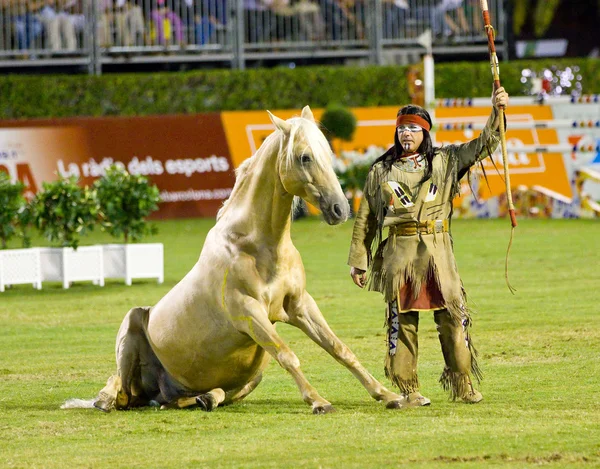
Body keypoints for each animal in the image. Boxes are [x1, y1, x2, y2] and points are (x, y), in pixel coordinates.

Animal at [63, 106, 406, 414]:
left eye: (328, 154)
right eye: (304, 157)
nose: (340, 208)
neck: (258, 246)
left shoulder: (299, 305)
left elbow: (340, 349)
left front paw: (389, 395)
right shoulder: (249, 313)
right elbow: (287, 355)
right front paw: (318, 402)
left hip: (248, 376)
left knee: (186, 398)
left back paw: (205, 398)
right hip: (132, 327)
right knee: (120, 398)